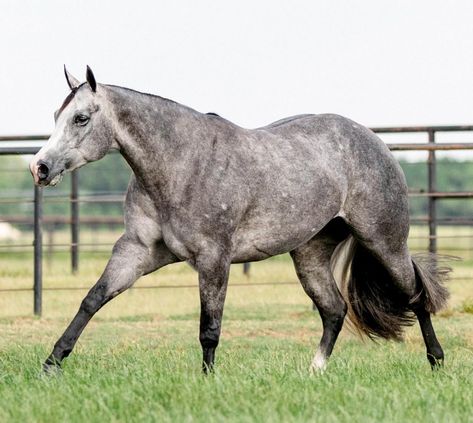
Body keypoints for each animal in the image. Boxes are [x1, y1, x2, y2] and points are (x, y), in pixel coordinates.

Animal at [30, 66, 450, 374]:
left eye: (81, 118)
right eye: (55, 115)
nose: (40, 167)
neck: (181, 164)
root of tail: (376, 143)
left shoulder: (214, 257)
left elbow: (209, 327)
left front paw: (207, 379)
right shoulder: (138, 250)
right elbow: (92, 299)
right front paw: (51, 365)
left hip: (384, 242)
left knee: (415, 295)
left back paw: (436, 361)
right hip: (310, 254)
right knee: (334, 310)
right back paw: (313, 371)